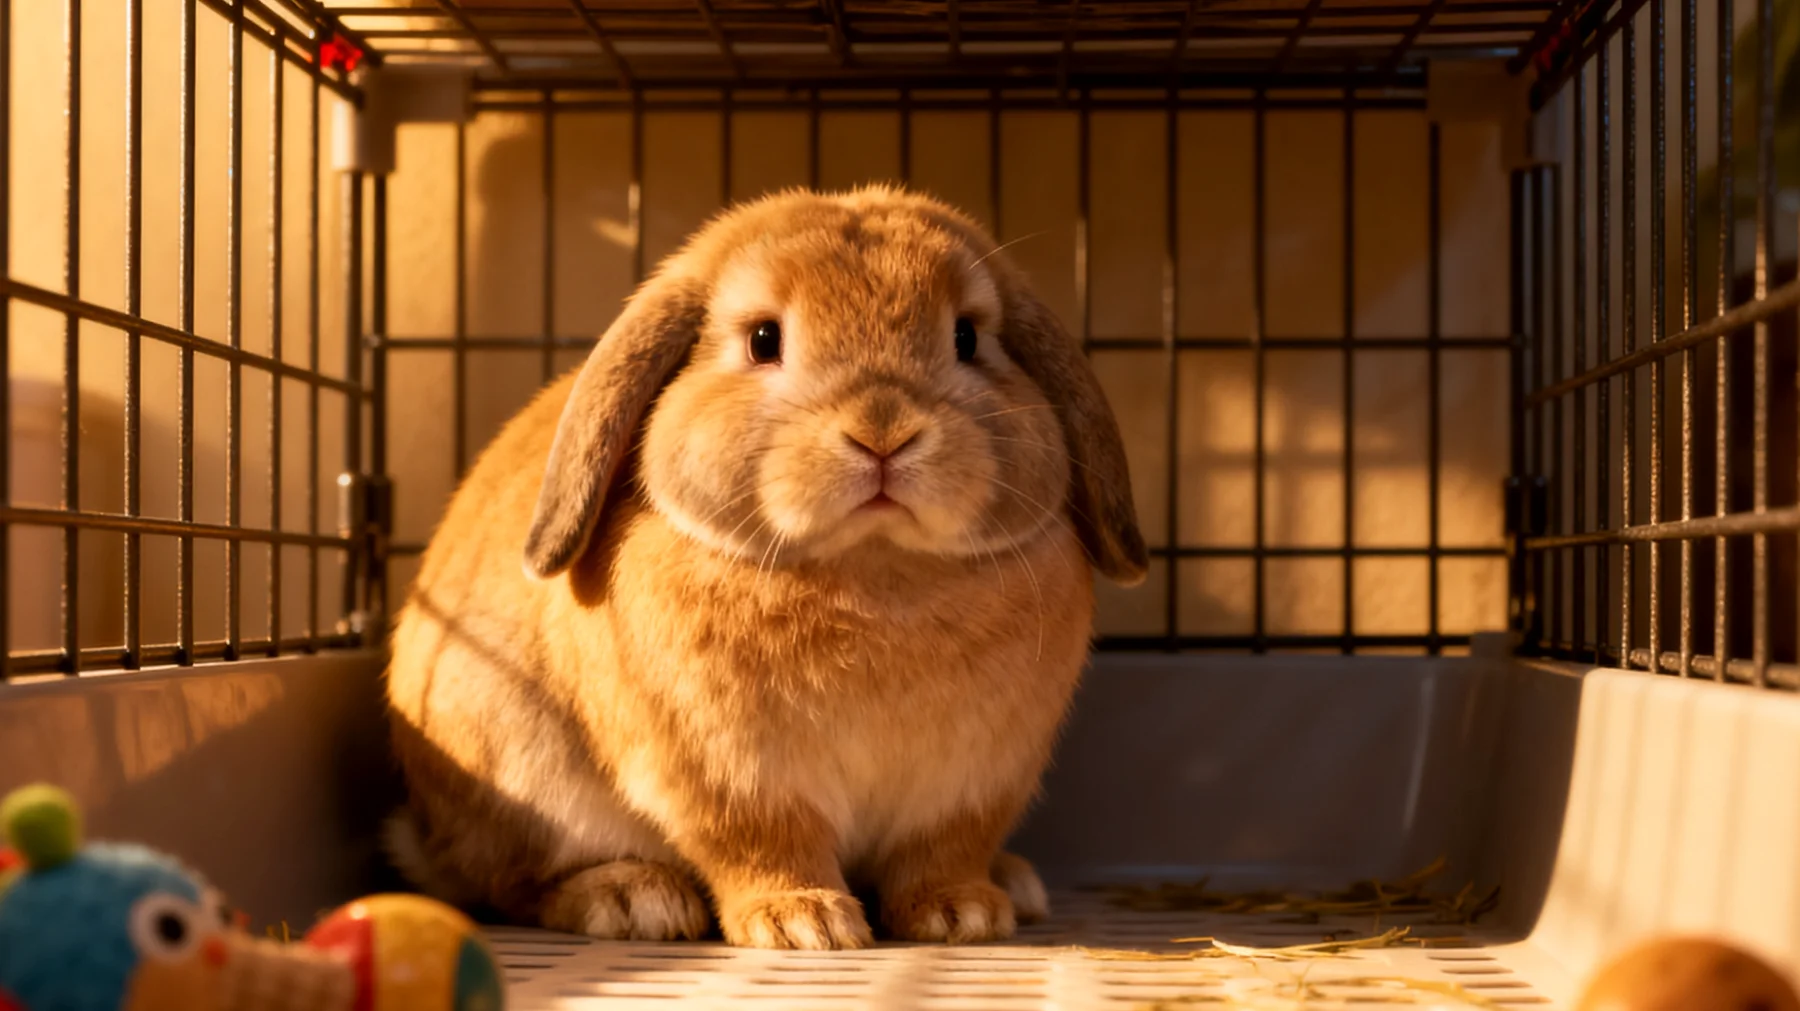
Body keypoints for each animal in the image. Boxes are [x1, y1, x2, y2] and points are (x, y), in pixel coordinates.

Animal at [383, 184, 1148, 951]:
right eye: (763, 340)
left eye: (967, 338)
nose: (882, 432)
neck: (875, 568)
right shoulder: (730, 779)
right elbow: (765, 844)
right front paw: (803, 922)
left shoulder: (972, 787)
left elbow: (941, 852)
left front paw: (960, 914)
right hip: (521, 774)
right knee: (516, 886)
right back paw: (632, 897)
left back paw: (1012, 884)